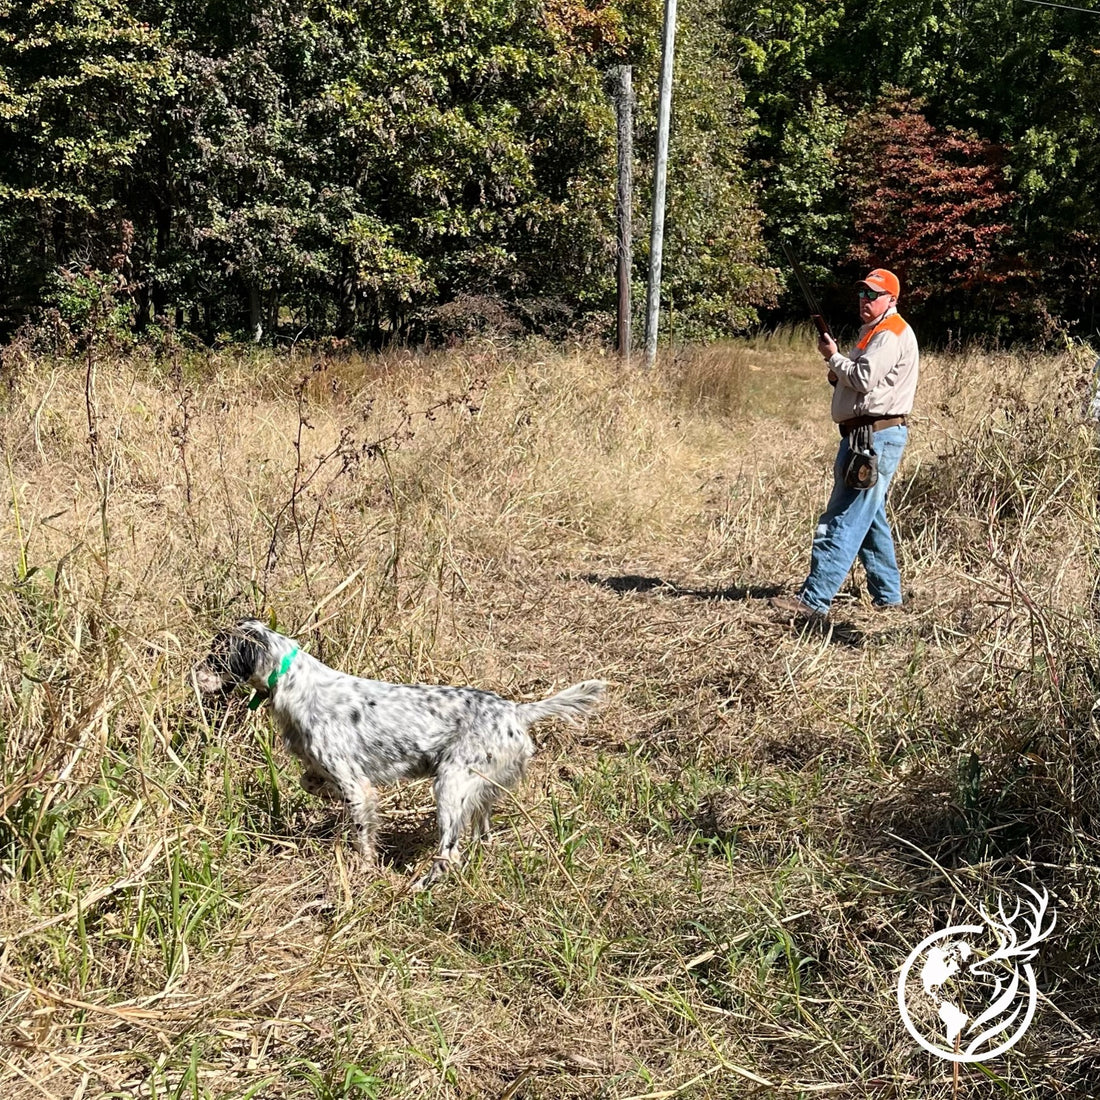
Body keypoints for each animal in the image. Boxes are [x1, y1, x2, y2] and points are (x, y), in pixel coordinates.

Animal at [193, 624, 607, 888]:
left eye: (215, 655)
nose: (192, 673)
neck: (295, 684)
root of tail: (516, 711)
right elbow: (308, 780)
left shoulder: (356, 786)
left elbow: (362, 834)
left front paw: (363, 871)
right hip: (479, 790)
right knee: (481, 835)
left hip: (450, 786)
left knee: (449, 855)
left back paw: (420, 886)